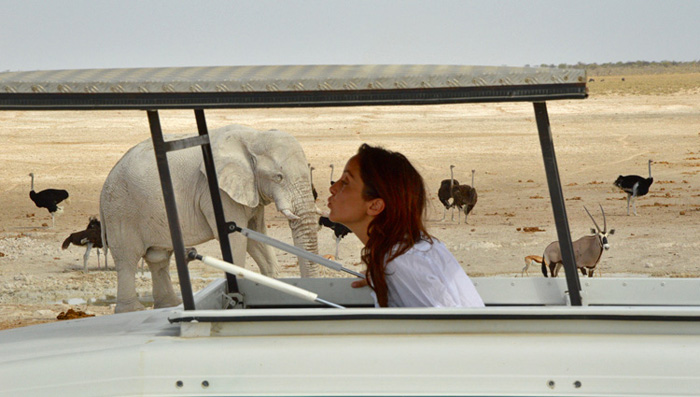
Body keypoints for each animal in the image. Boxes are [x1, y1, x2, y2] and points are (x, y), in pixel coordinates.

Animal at [100, 124, 322, 312]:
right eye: (278, 177)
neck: (254, 136)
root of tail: (106, 181)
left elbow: (255, 236)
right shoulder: (216, 191)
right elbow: (236, 241)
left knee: (158, 258)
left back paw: (170, 305)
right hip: (121, 211)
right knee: (128, 259)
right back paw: (132, 310)